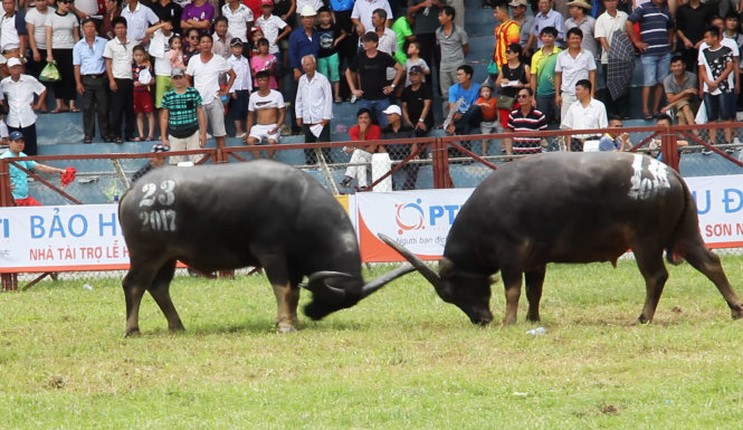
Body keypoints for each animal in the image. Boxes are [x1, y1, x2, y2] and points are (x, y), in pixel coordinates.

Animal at [119, 160, 416, 338]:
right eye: (330, 298)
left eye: (340, 304)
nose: (313, 313)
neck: (300, 206)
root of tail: (133, 191)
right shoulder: (272, 254)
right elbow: (282, 289)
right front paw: (284, 325)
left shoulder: (294, 263)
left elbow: (294, 292)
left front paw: (293, 320)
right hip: (146, 255)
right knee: (134, 284)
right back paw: (132, 329)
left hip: (167, 257)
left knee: (159, 287)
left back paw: (177, 326)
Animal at [384, 153, 743, 324]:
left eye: (451, 292)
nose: (480, 320)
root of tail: (670, 174)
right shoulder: (536, 260)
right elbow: (534, 291)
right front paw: (532, 318)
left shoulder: (512, 255)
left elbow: (513, 290)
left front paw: (509, 320)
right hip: (686, 235)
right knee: (710, 263)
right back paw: (735, 308)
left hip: (646, 242)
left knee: (656, 276)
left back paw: (644, 316)